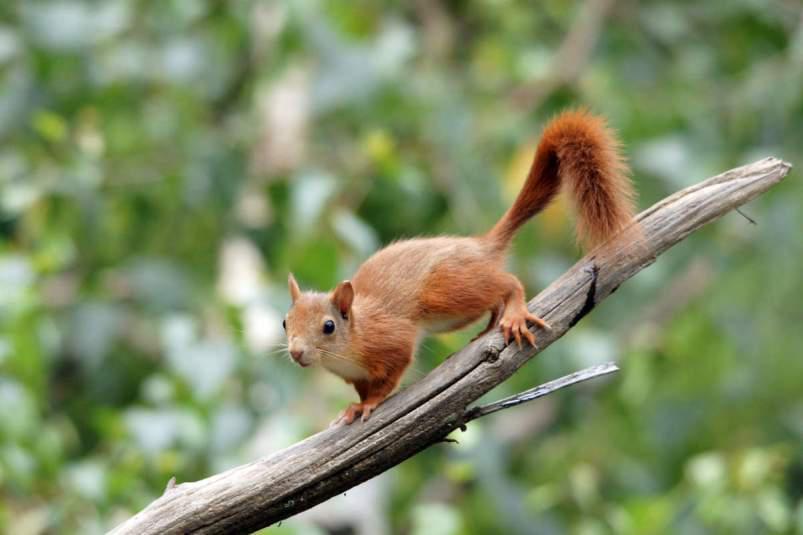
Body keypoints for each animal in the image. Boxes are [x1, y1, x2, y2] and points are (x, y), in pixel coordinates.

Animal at [282, 110, 636, 428]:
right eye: (286, 322)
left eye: (329, 326)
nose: (296, 353)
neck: (349, 342)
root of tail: (480, 246)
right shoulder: (355, 375)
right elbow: (361, 388)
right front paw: (353, 407)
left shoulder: (392, 341)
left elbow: (389, 378)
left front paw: (367, 405)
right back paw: (488, 327)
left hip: (447, 292)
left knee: (507, 283)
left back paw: (514, 312)